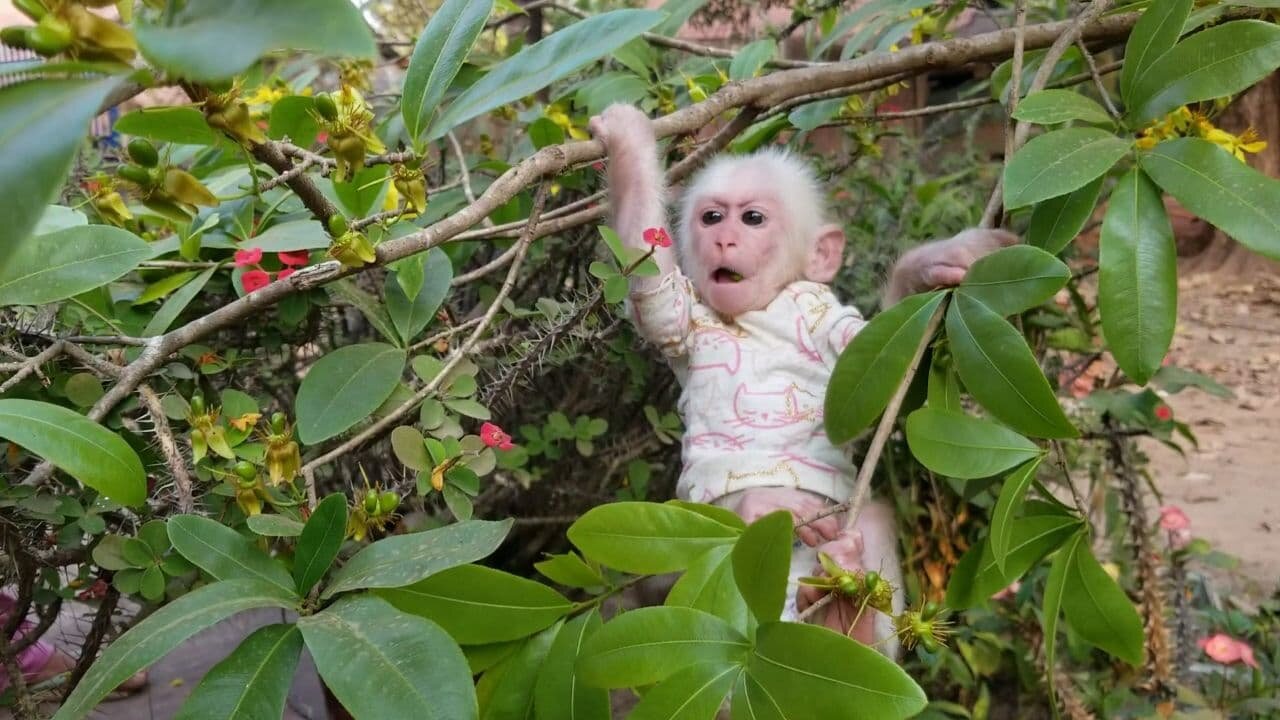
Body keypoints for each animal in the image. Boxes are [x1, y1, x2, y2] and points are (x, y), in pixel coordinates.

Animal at [591, 103, 1018, 648]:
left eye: (752, 218)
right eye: (712, 216)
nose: (722, 237)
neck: (758, 310)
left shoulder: (824, 320)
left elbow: (868, 363)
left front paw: (933, 264)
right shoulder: (688, 323)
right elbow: (660, 301)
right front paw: (627, 140)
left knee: (871, 521)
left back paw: (842, 617)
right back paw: (770, 519)